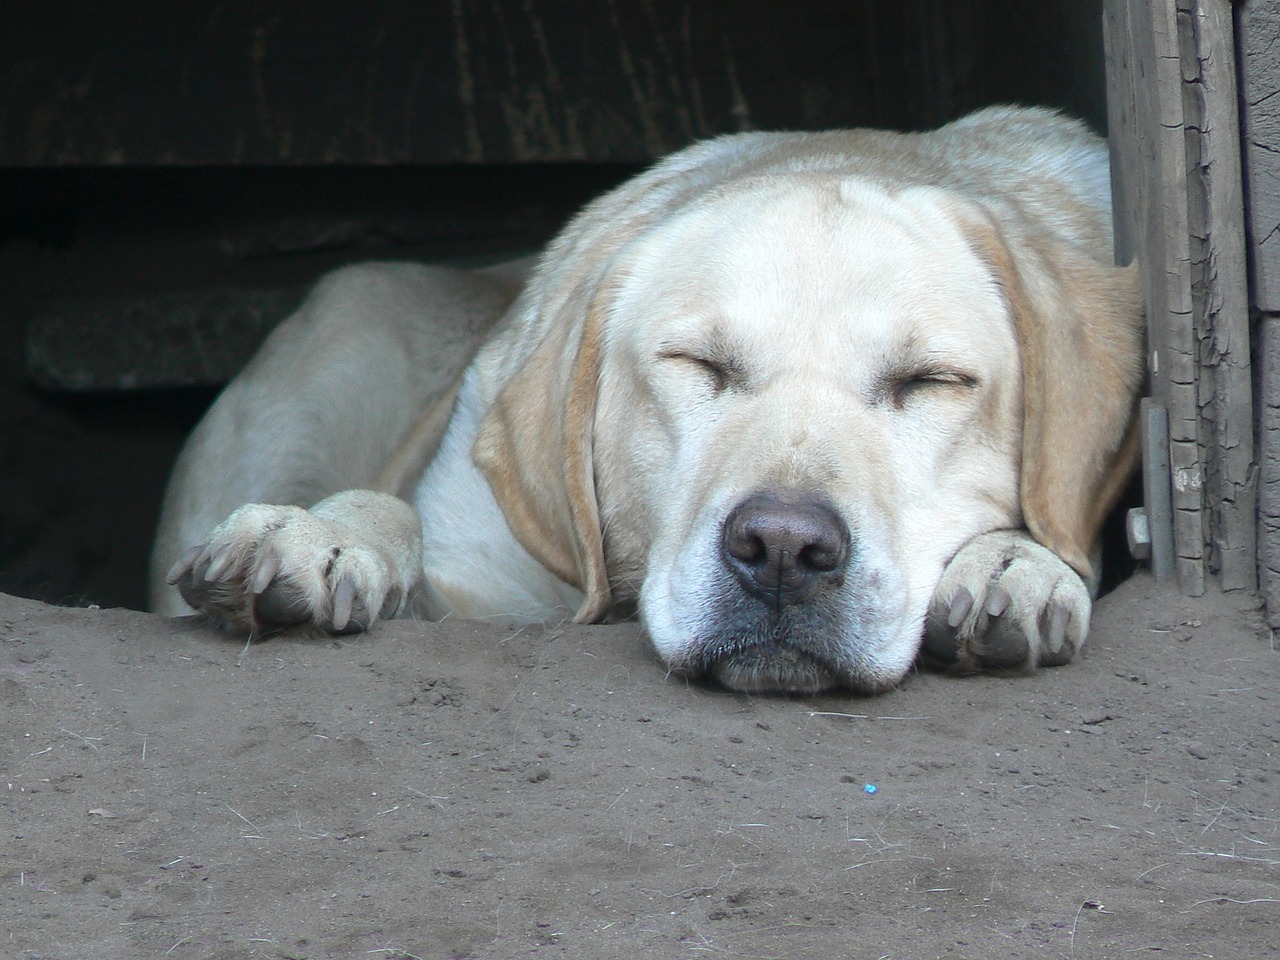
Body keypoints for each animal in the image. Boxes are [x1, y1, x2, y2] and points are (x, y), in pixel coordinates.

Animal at [149, 104, 1141, 696]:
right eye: (696, 364)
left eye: (930, 381)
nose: (783, 549)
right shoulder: (484, 583)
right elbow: (397, 520)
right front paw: (323, 534)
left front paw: (1013, 564)